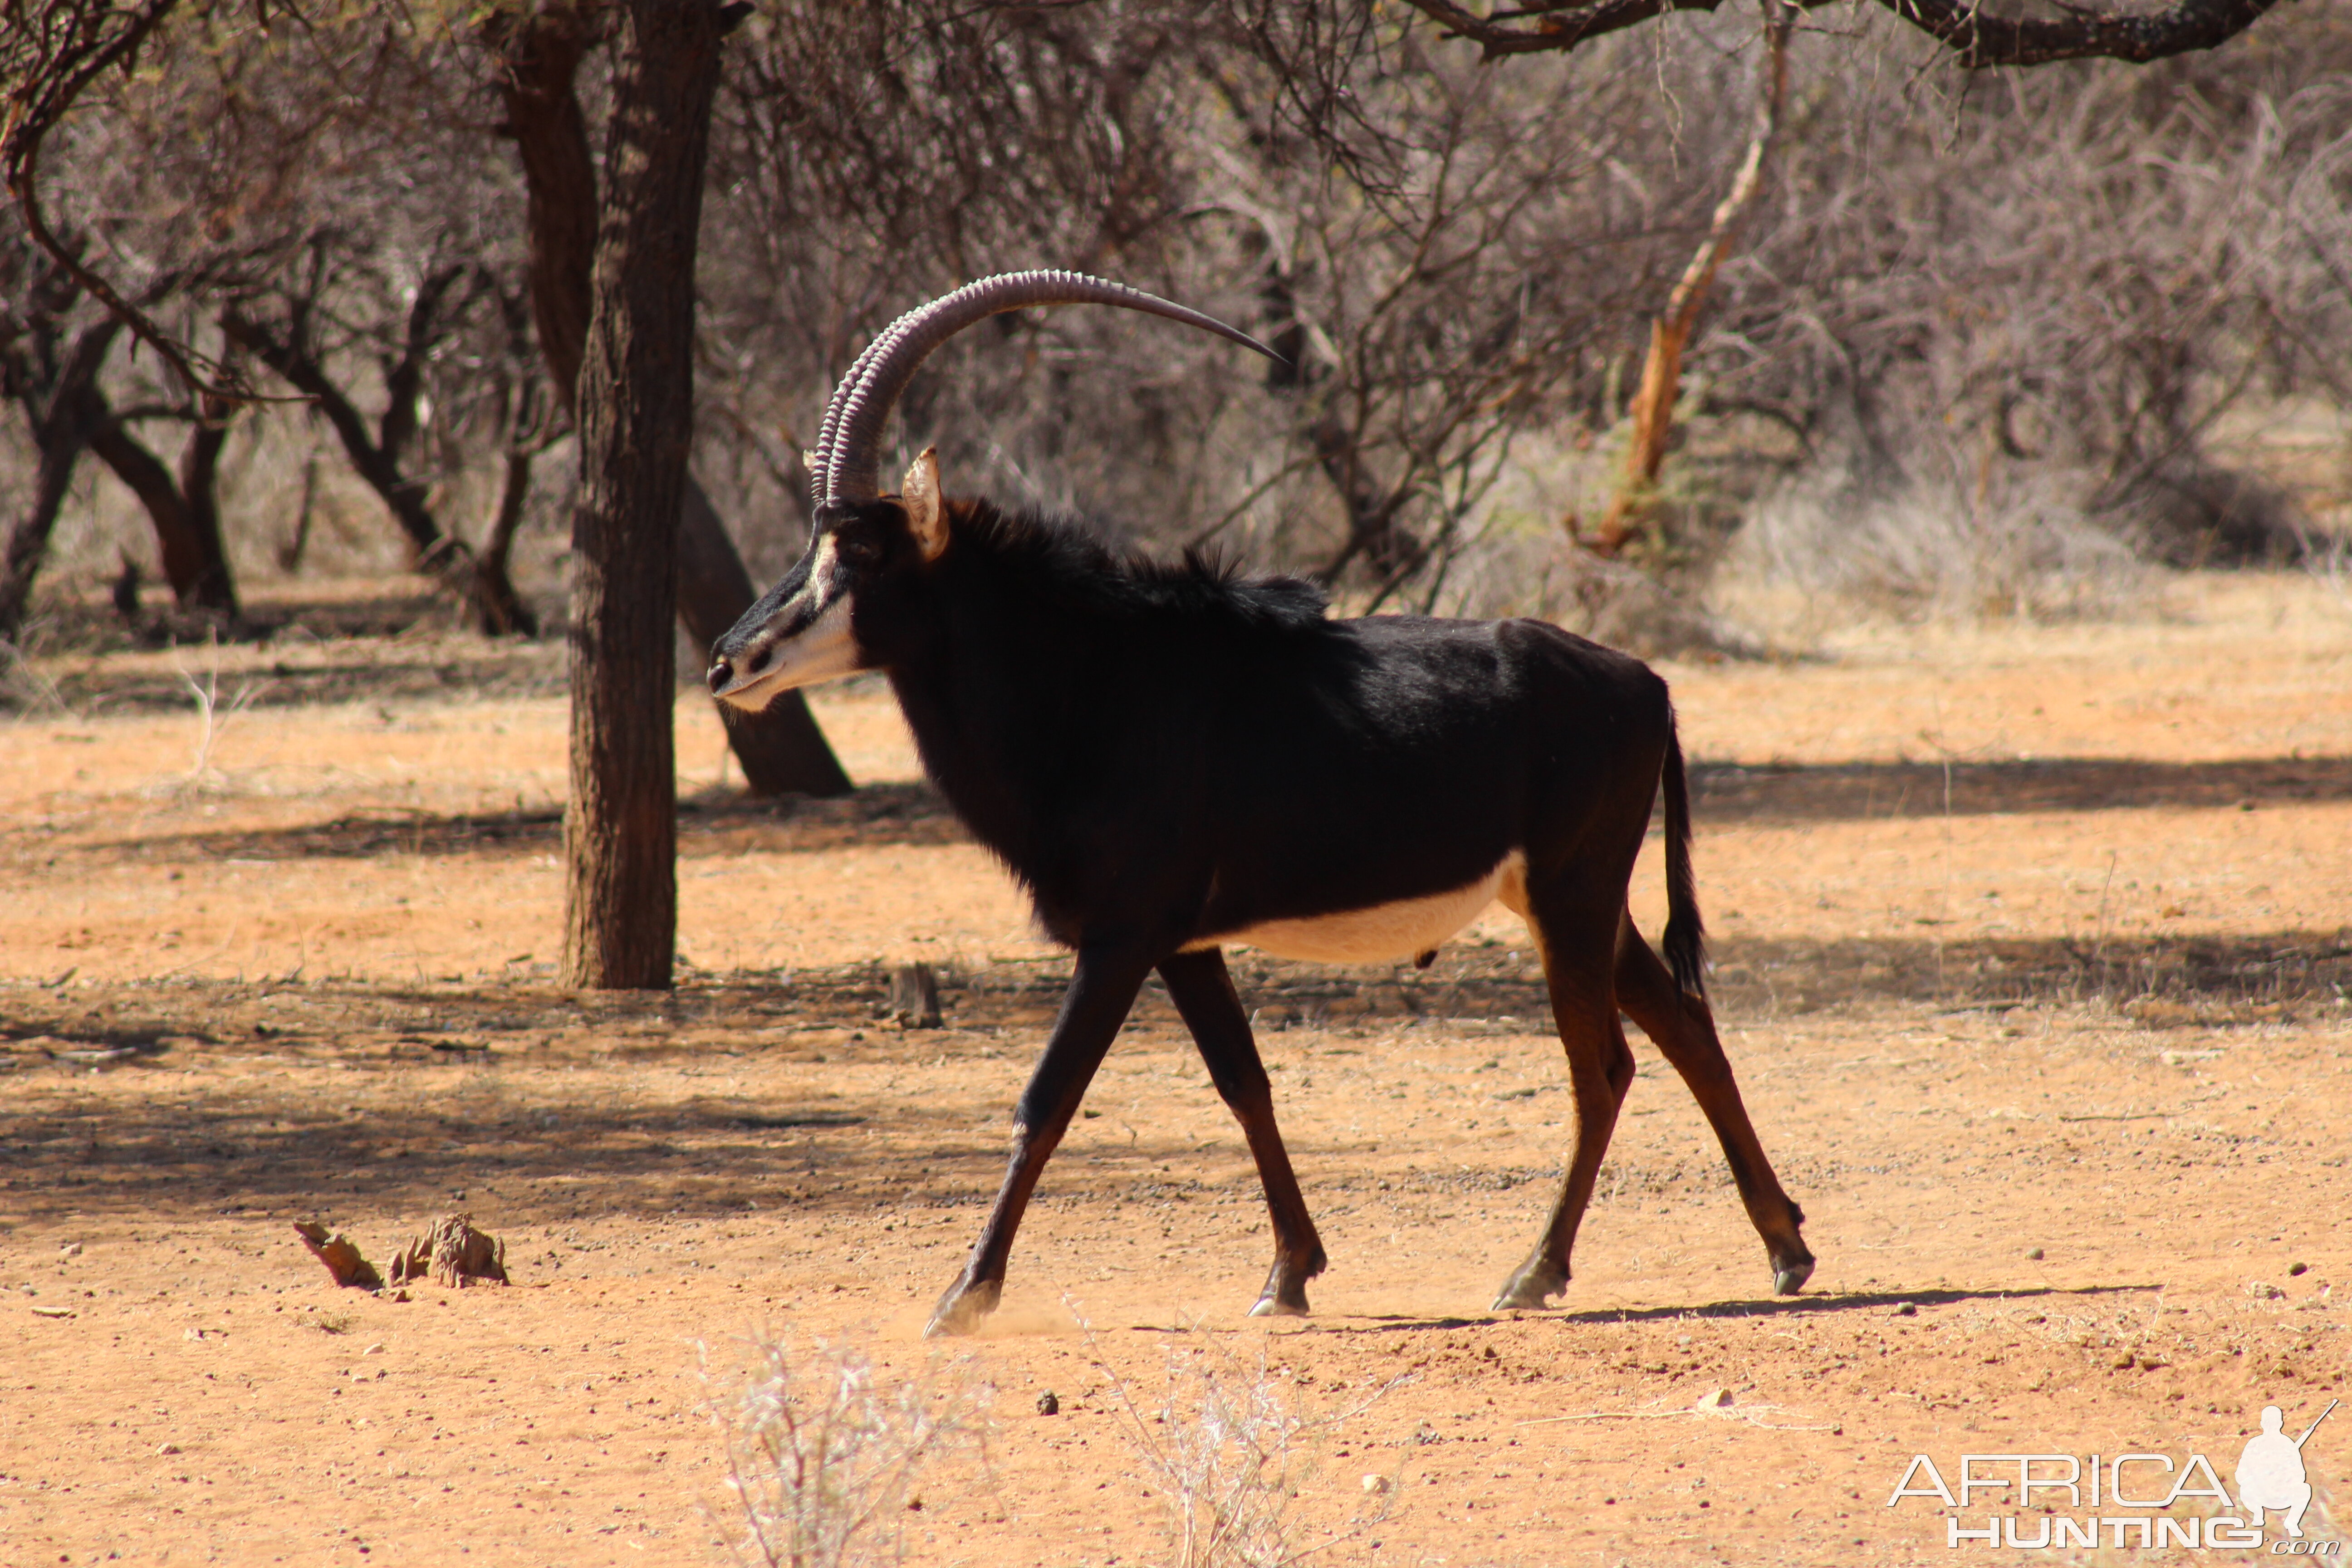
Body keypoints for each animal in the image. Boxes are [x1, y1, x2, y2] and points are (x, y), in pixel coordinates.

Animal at [706, 273, 1806, 1335]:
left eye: (859, 553)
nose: (727, 662)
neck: (1091, 681)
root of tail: (1646, 683)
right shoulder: (1183, 946)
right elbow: (1245, 1084)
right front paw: (1290, 1274)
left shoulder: (1119, 937)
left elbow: (1045, 1101)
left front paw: (964, 1296)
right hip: (1578, 904)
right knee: (1683, 1025)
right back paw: (1785, 1245)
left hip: (1571, 901)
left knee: (1604, 1065)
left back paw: (1536, 1272)